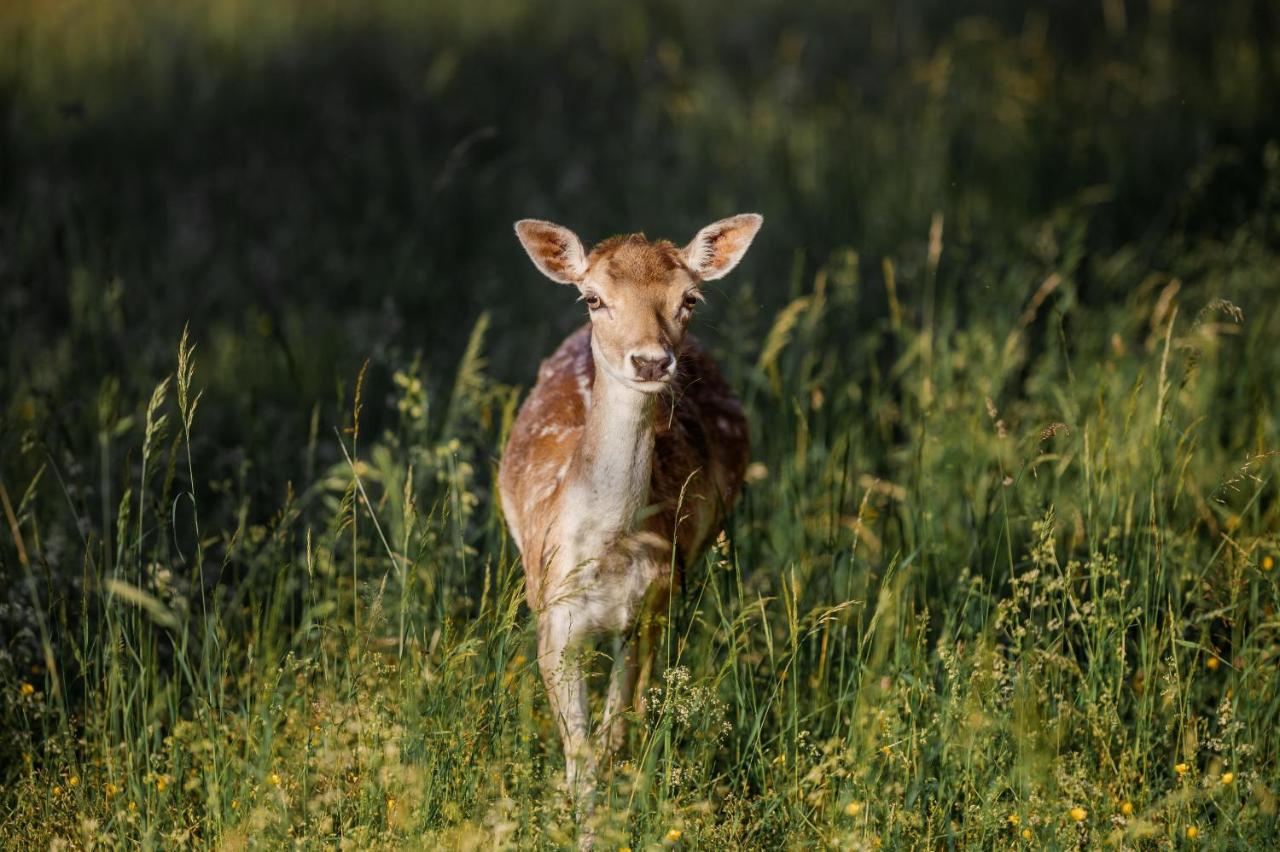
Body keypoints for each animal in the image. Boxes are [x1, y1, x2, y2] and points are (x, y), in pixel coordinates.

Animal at [499, 213, 757, 818]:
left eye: (689, 298)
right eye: (593, 297)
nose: (651, 360)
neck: (608, 551)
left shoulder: (647, 605)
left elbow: (613, 731)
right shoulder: (552, 615)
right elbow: (580, 754)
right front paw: (580, 820)